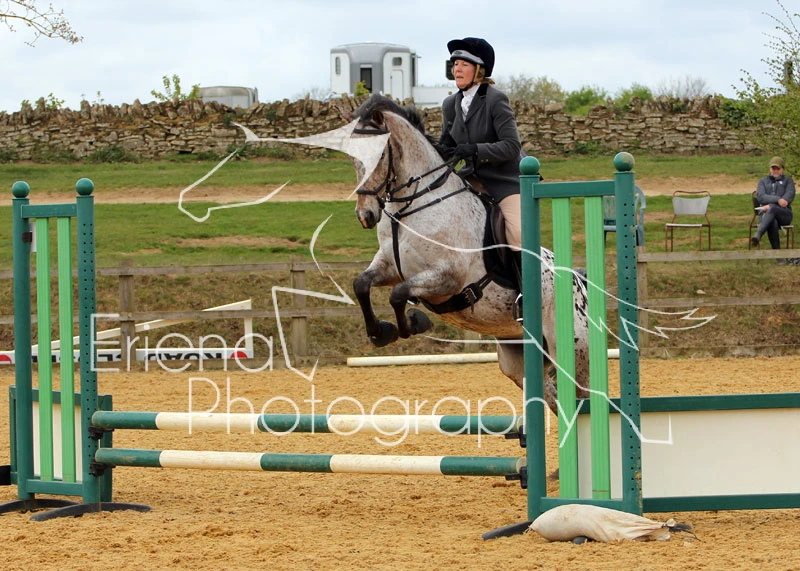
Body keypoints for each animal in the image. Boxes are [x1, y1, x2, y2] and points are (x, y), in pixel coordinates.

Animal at [350, 94, 589, 412]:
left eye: (378, 157)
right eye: (352, 158)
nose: (365, 216)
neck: (414, 207)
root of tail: (580, 283)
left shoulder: (447, 278)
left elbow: (398, 295)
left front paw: (412, 323)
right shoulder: (389, 266)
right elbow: (362, 285)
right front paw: (381, 332)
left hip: (574, 351)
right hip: (518, 357)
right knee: (551, 394)